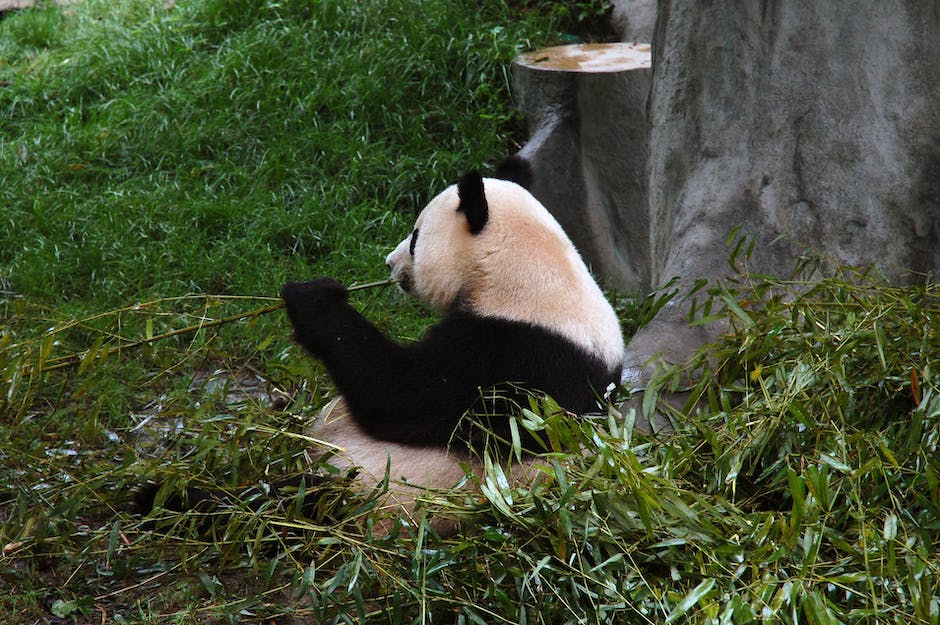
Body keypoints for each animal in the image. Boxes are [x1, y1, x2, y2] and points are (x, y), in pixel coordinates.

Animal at [282, 160, 628, 532]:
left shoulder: (516, 356)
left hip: (369, 493)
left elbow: (399, 395)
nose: (389, 263)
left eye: (415, 238)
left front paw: (313, 299)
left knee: (307, 494)